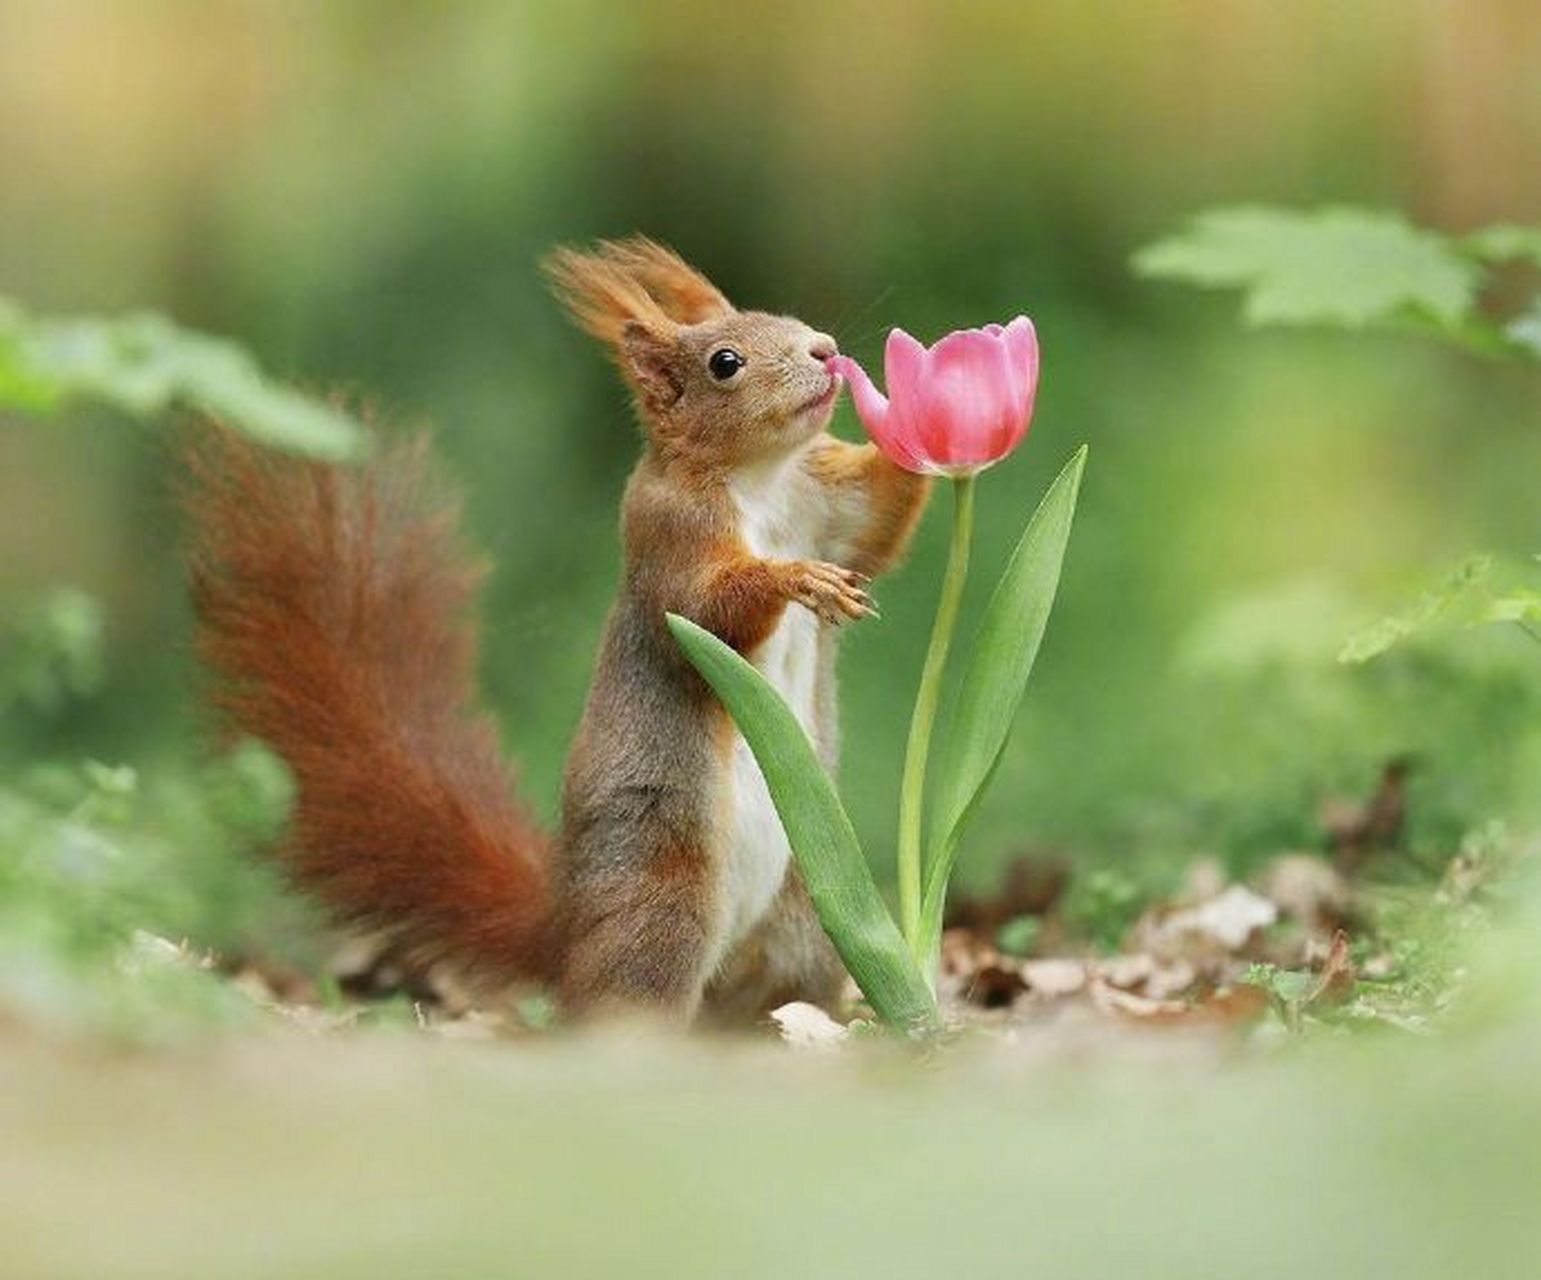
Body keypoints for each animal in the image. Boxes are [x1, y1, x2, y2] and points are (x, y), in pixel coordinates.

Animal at [180, 237, 924, 1022]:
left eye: (787, 318)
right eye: (726, 362)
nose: (825, 349)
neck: (764, 480)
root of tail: (564, 936)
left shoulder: (826, 504)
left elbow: (876, 522)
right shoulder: (666, 537)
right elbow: (706, 610)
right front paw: (794, 579)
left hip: (805, 916)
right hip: (662, 908)